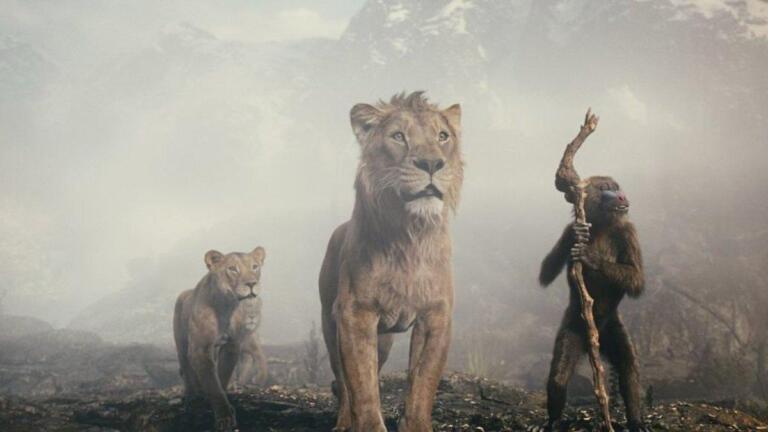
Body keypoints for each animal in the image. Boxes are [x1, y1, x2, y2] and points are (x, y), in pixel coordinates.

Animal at [173, 247, 267, 432]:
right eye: (232, 269)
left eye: (254, 266)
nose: (251, 284)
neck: (226, 306)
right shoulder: (200, 349)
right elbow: (211, 382)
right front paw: (224, 418)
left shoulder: (232, 346)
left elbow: (221, 377)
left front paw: (226, 408)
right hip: (181, 344)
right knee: (186, 369)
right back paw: (192, 398)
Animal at [319, 91, 463, 432]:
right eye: (398, 136)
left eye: (443, 136)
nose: (431, 163)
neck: (410, 235)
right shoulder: (355, 313)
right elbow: (362, 385)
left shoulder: (436, 315)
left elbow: (423, 382)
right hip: (330, 324)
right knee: (343, 382)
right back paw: (343, 422)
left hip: (383, 340)